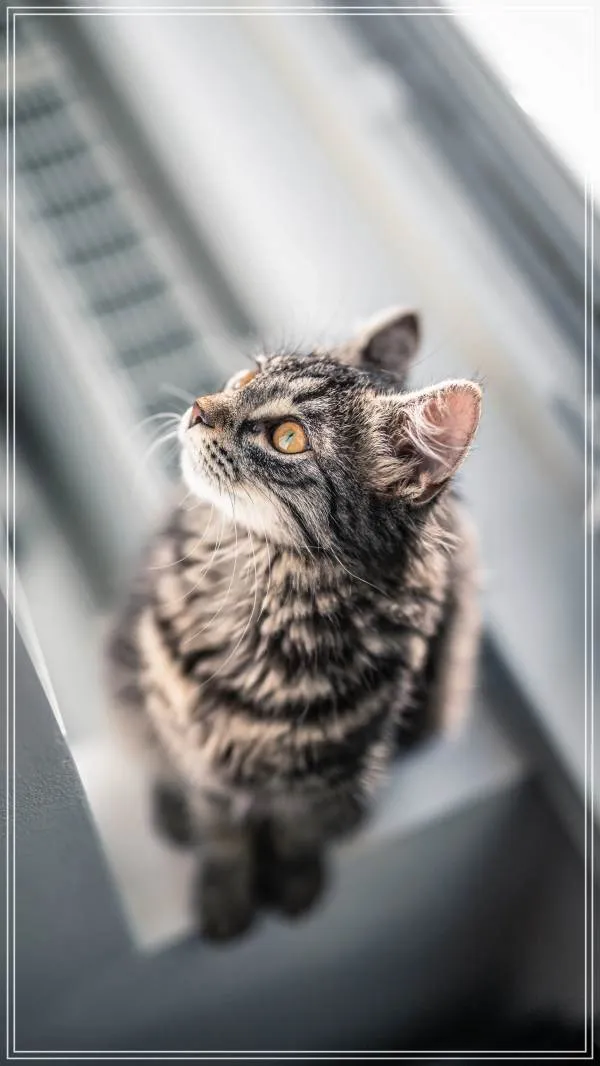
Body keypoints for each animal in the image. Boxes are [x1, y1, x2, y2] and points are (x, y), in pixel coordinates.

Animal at [107, 308, 482, 941]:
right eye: (246, 376)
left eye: (287, 437)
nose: (199, 408)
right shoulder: (197, 753)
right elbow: (223, 838)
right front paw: (226, 900)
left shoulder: (325, 772)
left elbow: (297, 836)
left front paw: (296, 885)